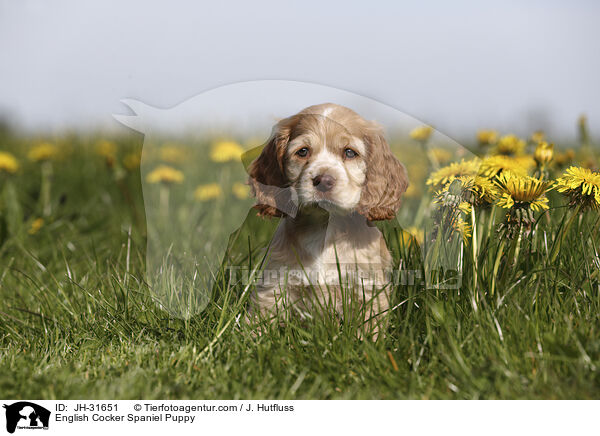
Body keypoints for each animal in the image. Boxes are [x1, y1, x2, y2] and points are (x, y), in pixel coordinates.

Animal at [245, 103, 408, 338]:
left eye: (349, 152)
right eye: (303, 151)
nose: (323, 180)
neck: (324, 226)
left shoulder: (368, 288)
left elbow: (370, 328)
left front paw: (367, 343)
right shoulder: (275, 283)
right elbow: (260, 321)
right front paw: (250, 340)